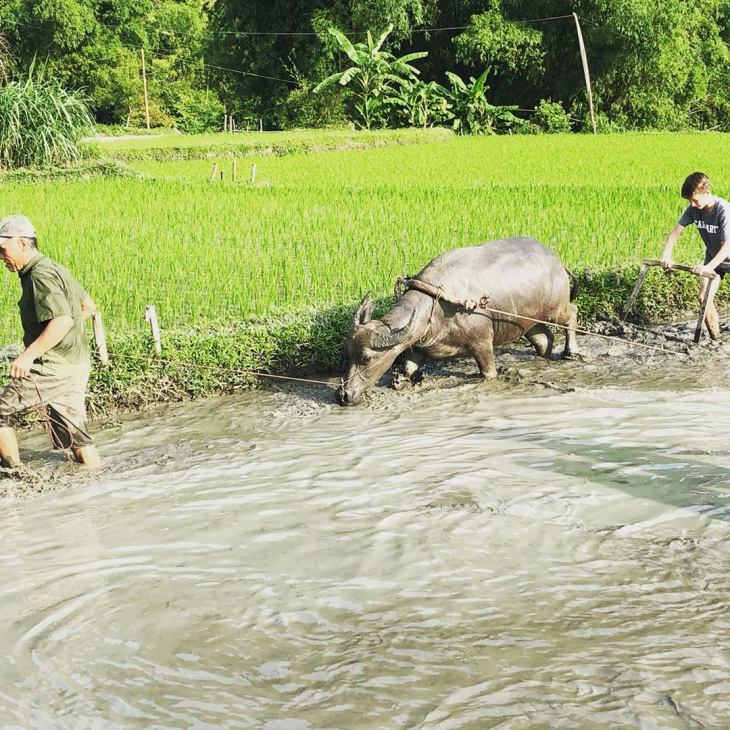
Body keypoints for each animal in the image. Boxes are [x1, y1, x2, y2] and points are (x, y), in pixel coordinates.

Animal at [336, 235, 580, 400]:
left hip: (557, 308)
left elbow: (488, 372)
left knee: (572, 314)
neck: (437, 306)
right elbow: (409, 368)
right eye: (347, 353)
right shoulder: (415, 346)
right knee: (543, 340)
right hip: (528, 321)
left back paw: (571, 351)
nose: (344, 395)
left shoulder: (482, 343)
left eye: (367, 358)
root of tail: (555, 260)